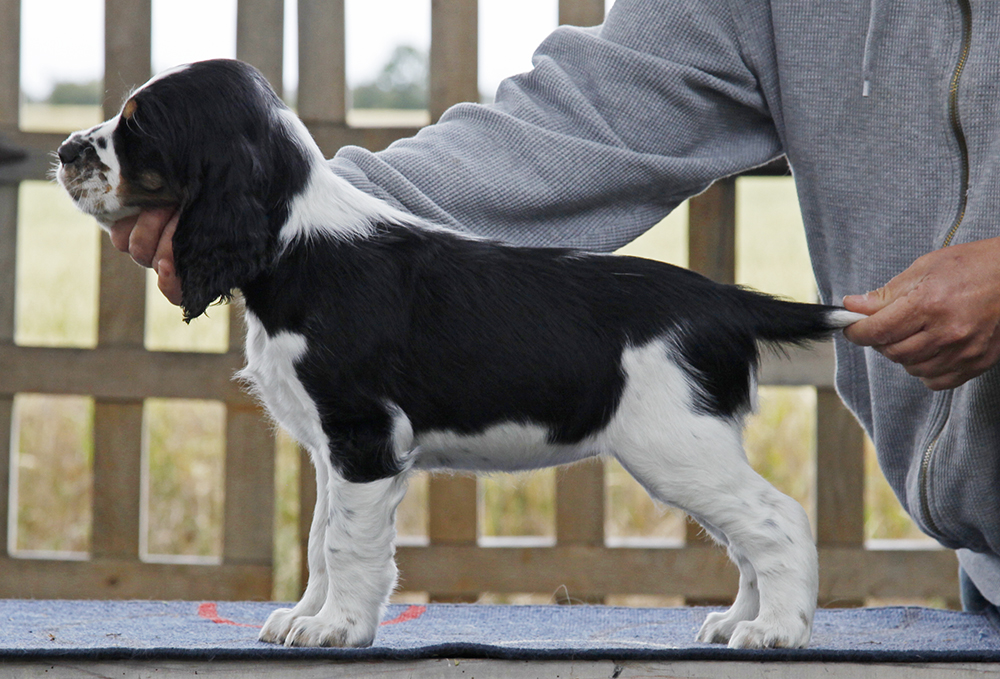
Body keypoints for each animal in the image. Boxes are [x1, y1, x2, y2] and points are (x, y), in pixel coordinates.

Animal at [58, 61, 864, 652]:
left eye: (137, 124)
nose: (65, 150)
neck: (295, 245)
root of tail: (722, 300)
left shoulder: (365, 437)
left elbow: (346, 543)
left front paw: (336, 627)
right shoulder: (331, 449)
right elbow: (320, 539)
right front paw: (304, 615)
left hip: (675, 444)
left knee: (778, 519)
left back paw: (776, 630)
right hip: (697, 448)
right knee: (745, 536)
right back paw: (738, 620)